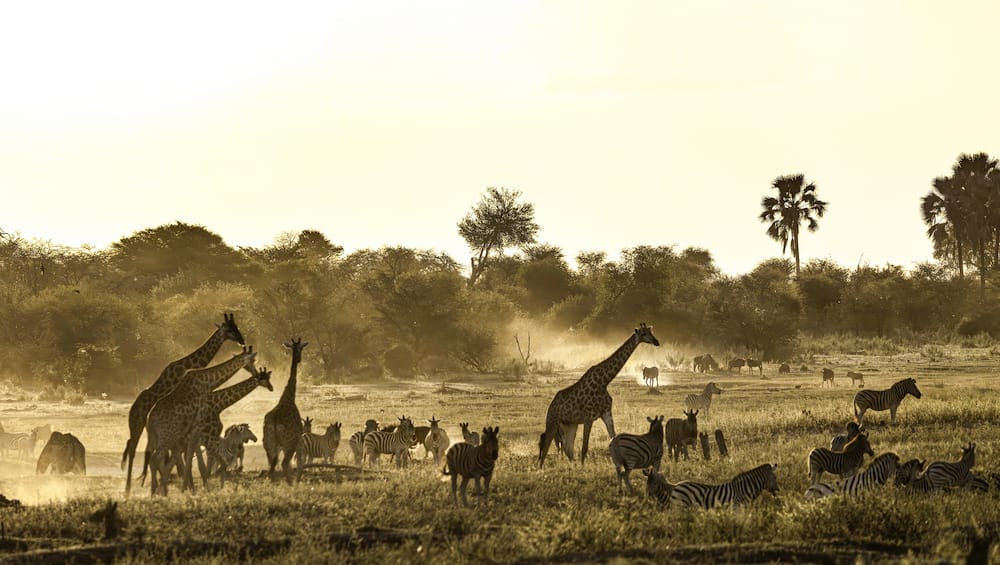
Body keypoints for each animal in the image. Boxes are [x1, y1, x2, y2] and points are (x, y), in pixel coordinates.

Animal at [121, 312, 244, 494]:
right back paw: (130, 487)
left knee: (148, 450)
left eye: (237, 327)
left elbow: (184, 452)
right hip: (137, 425)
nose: (242, 340)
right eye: (230, 329)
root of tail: (132, 409)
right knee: (133, 448)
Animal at [146, 344, 260, 494]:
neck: (207, 381)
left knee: (157, 460)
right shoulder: (198, 426)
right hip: (167, 436)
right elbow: (199, 462)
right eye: (252, 361)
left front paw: (193, 489)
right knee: (156, 459)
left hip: (159, 438)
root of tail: (150, 420)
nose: (256, 373)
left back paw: (159, 490)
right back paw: (157, 492)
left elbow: (193, 461)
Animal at [264, 338, 306, 482]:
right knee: (282, 463)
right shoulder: (298, 438)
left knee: (271, 466)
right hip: (289, 443)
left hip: (269, 443)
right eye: (300, 348)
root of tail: (275, 423)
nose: (299, 359)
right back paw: (291, 483)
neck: (289, 397)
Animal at [536, 322, 660, 468]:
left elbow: (614, 439)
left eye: (651, 332)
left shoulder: (606, 413)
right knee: (546, 444)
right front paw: (583, 467)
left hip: (570, 424)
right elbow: (585, 447)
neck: (604, 381)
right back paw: (540, 467)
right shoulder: (588, 417)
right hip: (553, 422)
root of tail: (550, 406)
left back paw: (573, 466)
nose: (656, 342)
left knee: (568, 448)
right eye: (644, 334)